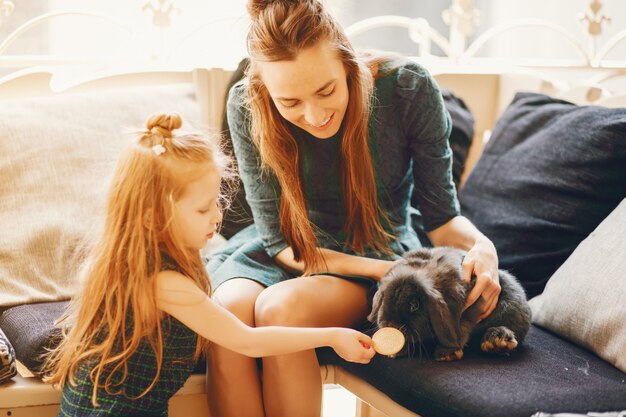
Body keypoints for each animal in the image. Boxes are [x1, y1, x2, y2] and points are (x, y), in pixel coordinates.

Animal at [368, 245, 528, 360]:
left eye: (414, 305)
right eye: (385, 298)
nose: (390, 325)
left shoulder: (468, 310)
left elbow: (461, 330)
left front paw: (446, 354)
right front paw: (396, 352)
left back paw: (497, 341)